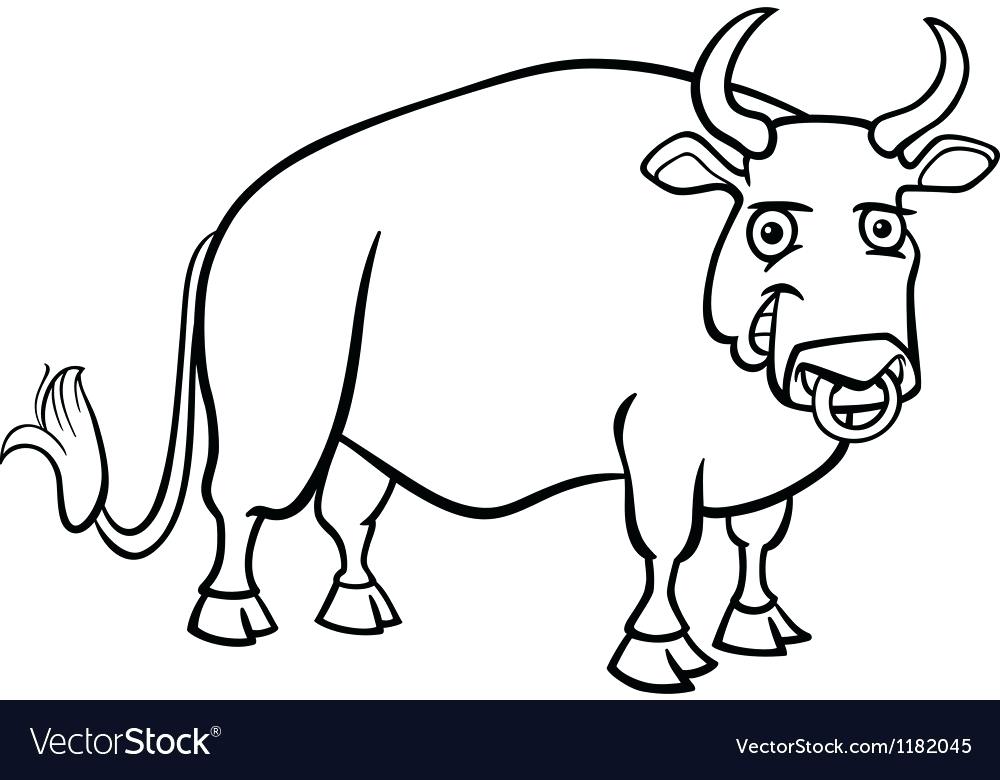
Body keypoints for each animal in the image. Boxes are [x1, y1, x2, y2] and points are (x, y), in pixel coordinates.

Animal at [2, 9, 995, 693]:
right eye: (771, 226)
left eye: (887, 223)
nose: (858, 374)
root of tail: (236, 221)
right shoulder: (659, 449)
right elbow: (665, 546)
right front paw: (660, 650)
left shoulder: (764, 464)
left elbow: (757, 536)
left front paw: (761, 625)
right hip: (280, 418)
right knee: (241, 505)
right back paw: (233, 614)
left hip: (360, 437)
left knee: (350, 514)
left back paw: (360, 608)